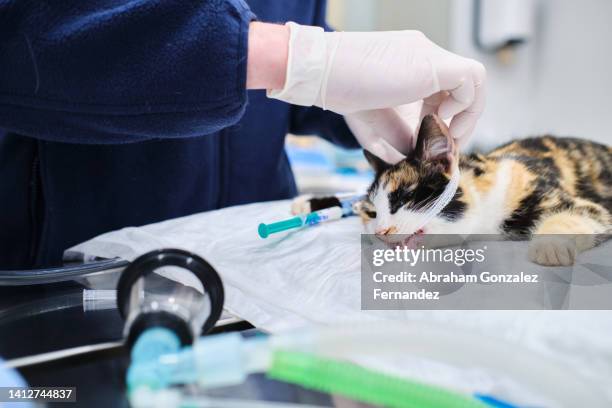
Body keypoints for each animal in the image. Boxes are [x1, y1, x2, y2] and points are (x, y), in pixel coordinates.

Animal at [292, 113, 612, 266]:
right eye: (371, 213)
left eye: (403, 197)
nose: (381, 232)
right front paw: (308, 202)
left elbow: (581, 212)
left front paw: (550, 246)